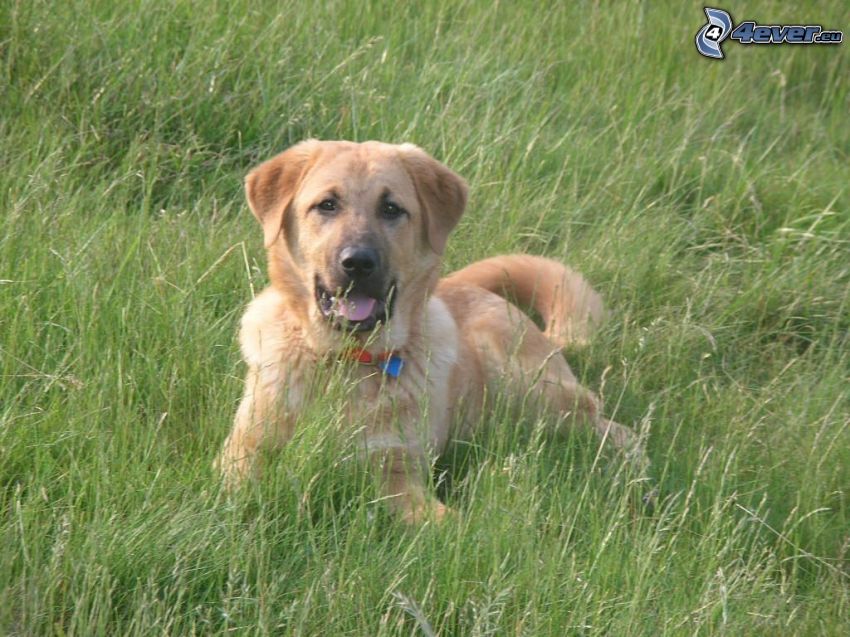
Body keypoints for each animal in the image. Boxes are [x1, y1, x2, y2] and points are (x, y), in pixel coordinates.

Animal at [215, 139, 644, 520]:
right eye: (327, 204)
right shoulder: (243, 451)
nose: (358, 263)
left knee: (607, 422)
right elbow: (238, 491)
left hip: (524, 383)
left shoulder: (395, 469)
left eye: (391, 209)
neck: (345, 360)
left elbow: (444, 524)